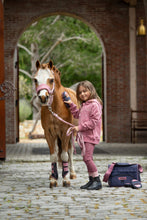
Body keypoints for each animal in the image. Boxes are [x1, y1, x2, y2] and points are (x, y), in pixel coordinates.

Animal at [33, 59, 77, 187]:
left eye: (51, 80)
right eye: (35, 79)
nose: (43, 97)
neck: (56, 106)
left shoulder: (65, 132)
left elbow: (65, 155)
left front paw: (66, 179)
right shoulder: (49, 134)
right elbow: (53, 155)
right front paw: (53, 179)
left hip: (72, 134)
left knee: (70, 152)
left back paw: (72, 173)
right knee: (58, 151)